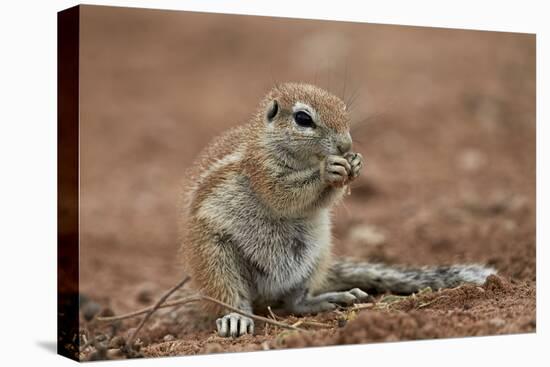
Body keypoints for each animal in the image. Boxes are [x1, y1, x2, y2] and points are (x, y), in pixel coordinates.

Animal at [179, 82, 498, 338]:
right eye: (303, 118)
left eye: (344, 109)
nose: (346, 144)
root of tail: (266, 295)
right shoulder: (262, 170)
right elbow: (283, 195)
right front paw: (327, 170)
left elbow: (320, 201)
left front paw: (355, 164)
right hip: (215, 258)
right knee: (230, 295)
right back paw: (235, 318)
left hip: (315, 254)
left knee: (295, 302)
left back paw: (328, 299)